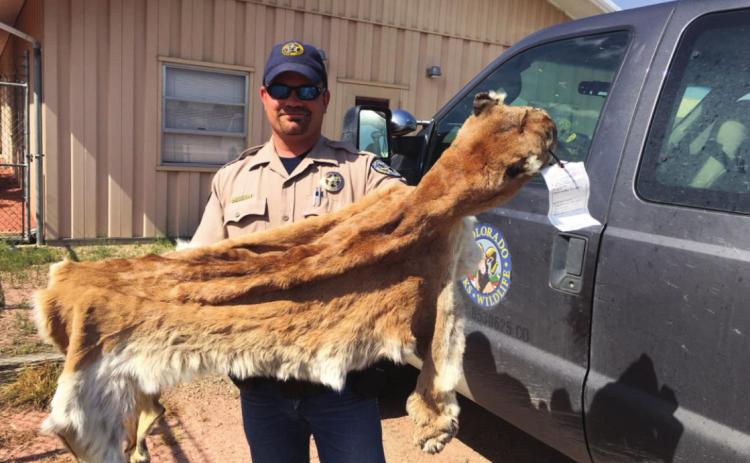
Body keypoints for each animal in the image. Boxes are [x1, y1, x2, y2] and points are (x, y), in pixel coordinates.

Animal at [33, 93, 555, 462]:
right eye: (521, 121)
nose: (551, 123)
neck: (435, 199)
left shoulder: (438, 284)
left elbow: (437, 360)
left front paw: (432, 425)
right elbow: (439, 364)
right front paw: (434, 427)